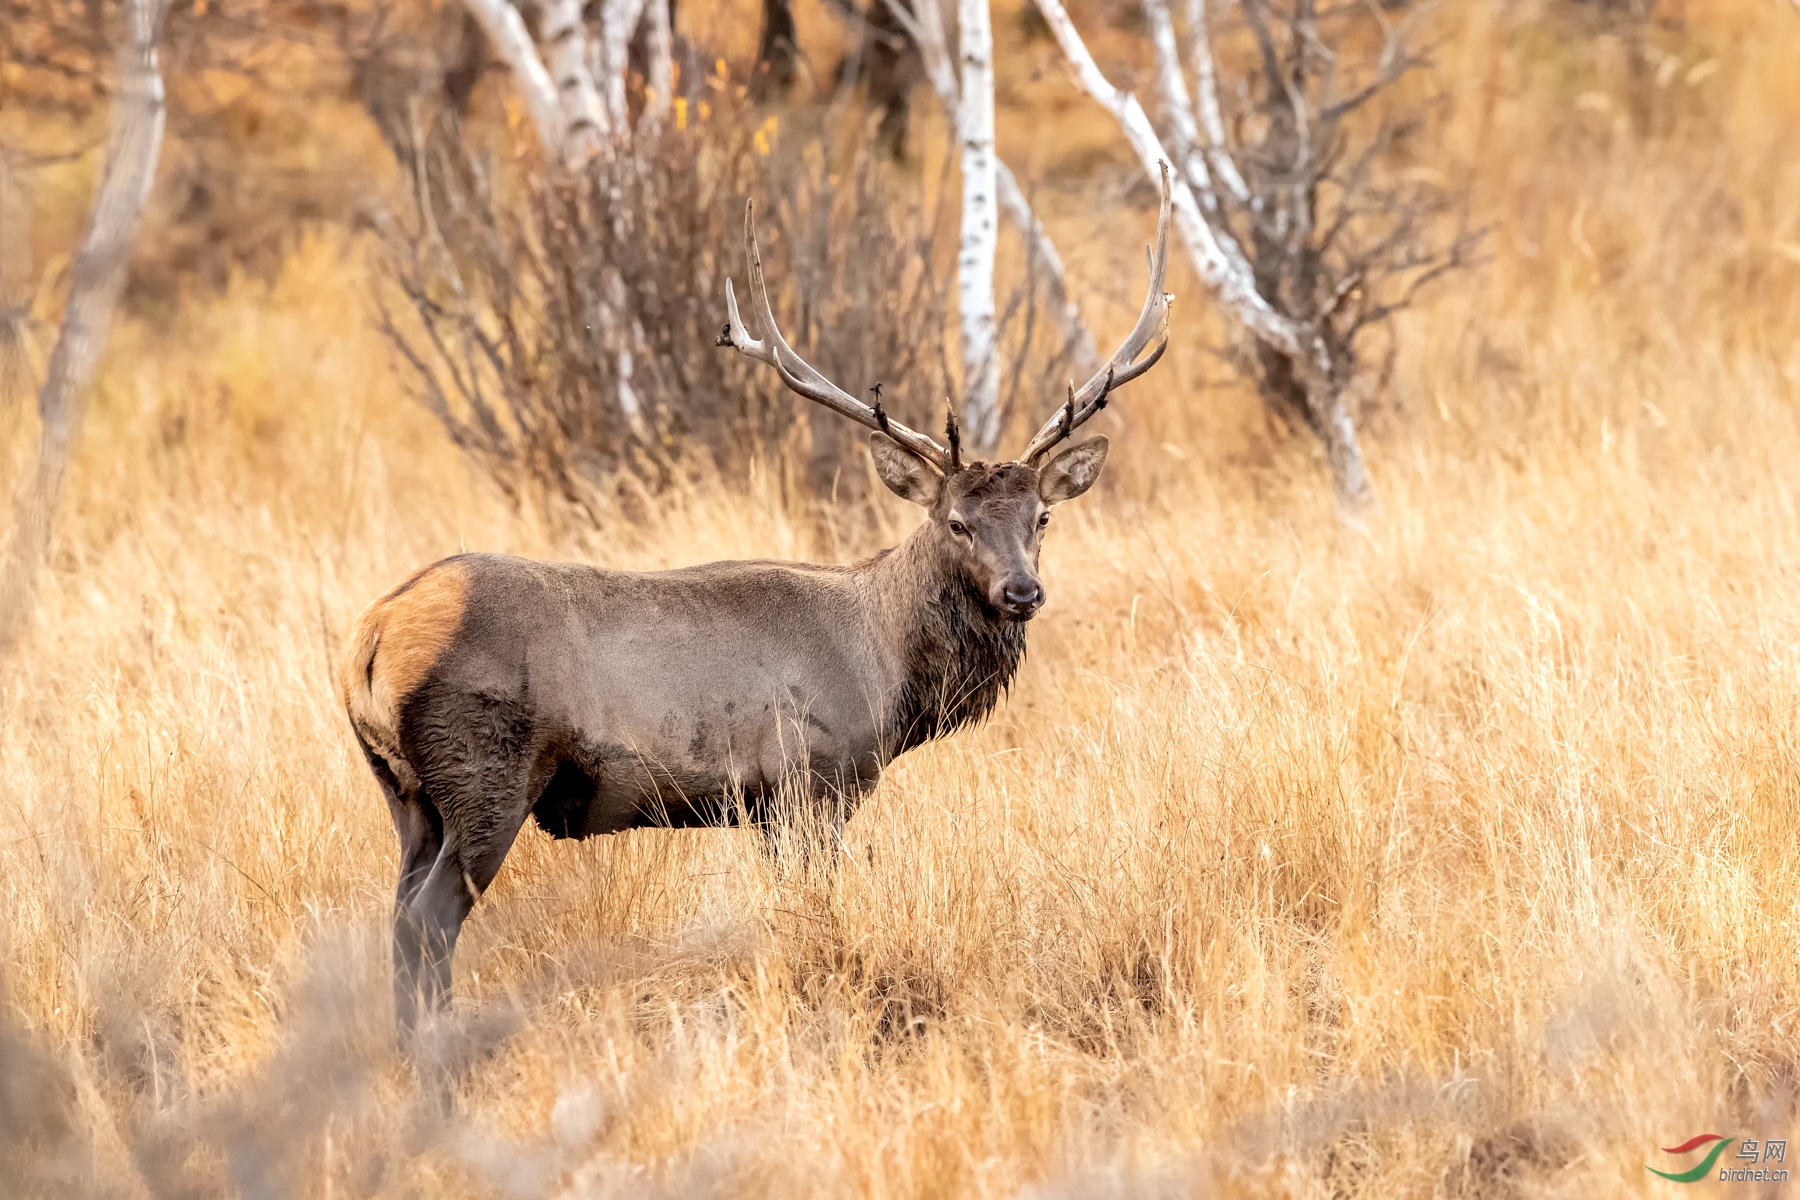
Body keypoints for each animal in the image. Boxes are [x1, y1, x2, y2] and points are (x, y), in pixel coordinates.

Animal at [342, 166, 1173, 1036]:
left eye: (1041, 517)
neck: (888, 674)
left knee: (396, 911)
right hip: (485, 771)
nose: (1022, 591)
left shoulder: (770, 806)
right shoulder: (810, 778)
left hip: (404, 792)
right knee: (427, 921)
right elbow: (815, 906)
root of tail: (369, 638)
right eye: (956, 522)